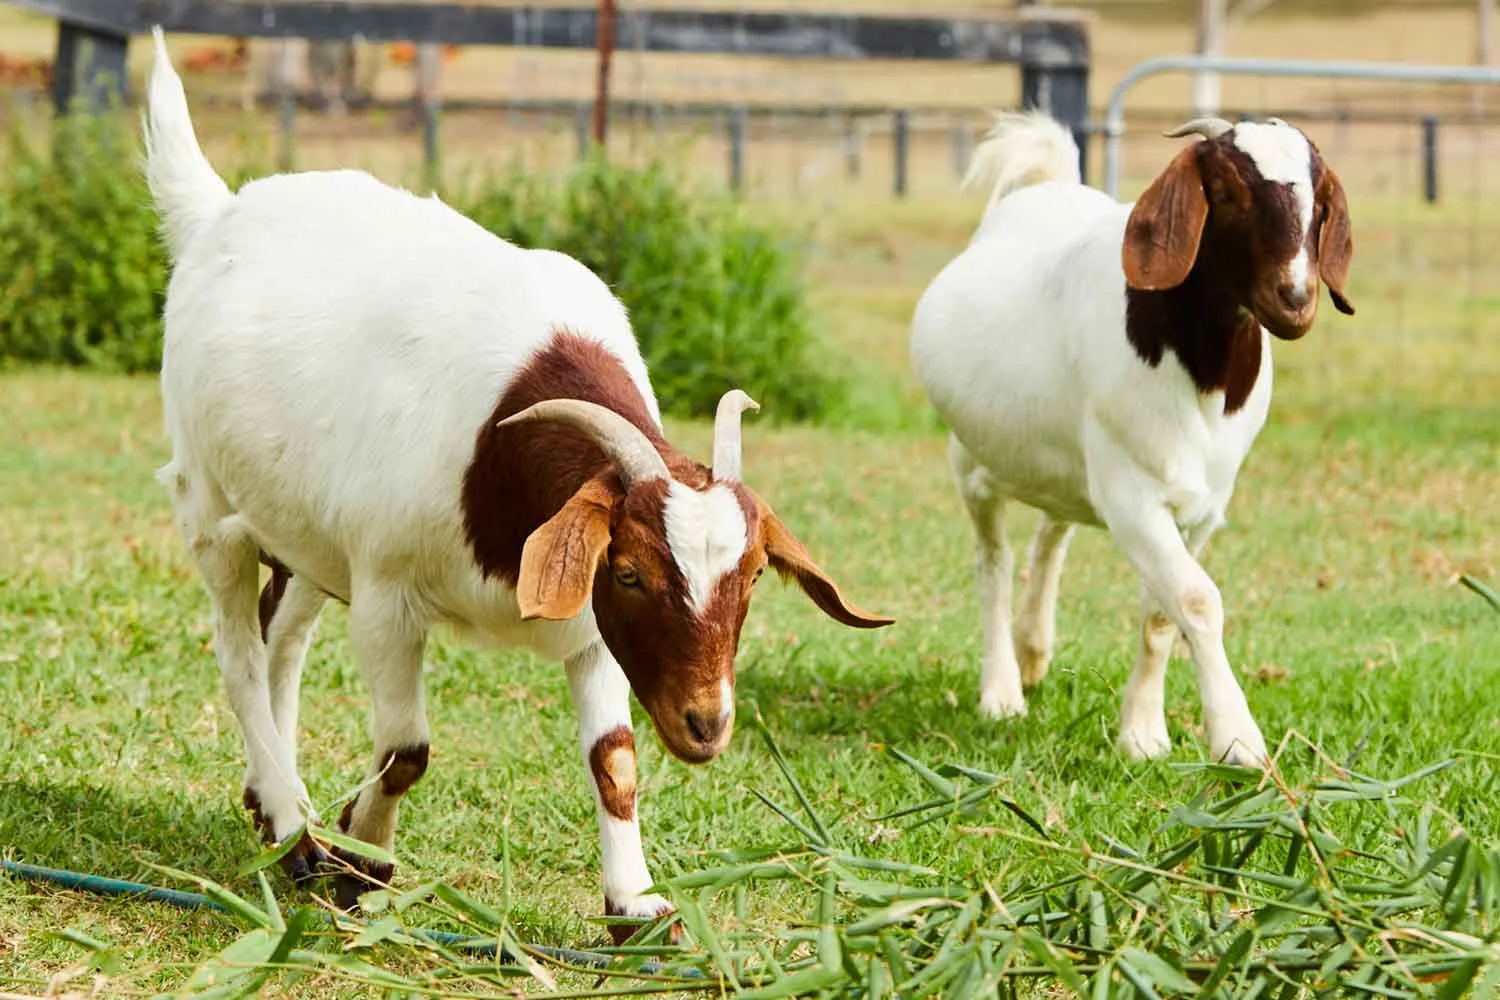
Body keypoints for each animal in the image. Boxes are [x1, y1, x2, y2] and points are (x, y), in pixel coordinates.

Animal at [141, 28, 893, 936]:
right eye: (632, 572)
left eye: (751, 578)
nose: (706, 725)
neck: (499, 445)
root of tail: (219, 212)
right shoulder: (389, 599)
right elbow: (407, 752)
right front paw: (364, 862)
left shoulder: (589, 629)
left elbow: (615, 760)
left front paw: (635, 907)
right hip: (209, 502)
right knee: (238, 650)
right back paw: (294, 825)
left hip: (305, 530)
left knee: (279, 631)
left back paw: (278, 807)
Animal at [909, 111, 1354, 767]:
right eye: (1227, 191)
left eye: (1319, 200)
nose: (1295, 299)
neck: (1201, 375)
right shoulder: (1132, 497)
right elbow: (1196, 599)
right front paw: (1238, 739)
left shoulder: (1203, 507)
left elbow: (1162, 615)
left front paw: (1142, 732)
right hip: (970, 459)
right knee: (994, 560)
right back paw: (1002, 690)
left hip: (1066, 463)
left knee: (1052, 531)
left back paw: (1033, 649)